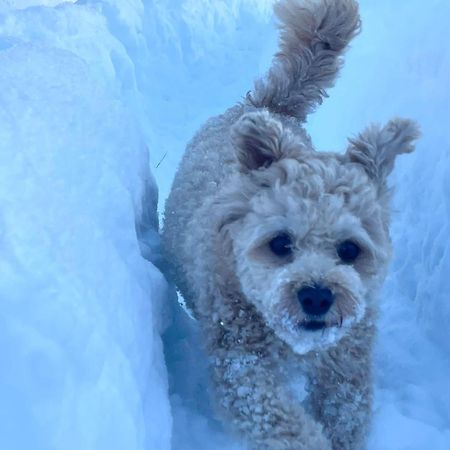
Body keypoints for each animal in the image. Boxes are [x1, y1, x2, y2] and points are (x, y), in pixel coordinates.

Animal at [163, 1, 420, 448]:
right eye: (280, 243)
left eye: (350, 249)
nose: (316, 296)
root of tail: (271, 105)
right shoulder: (242, 359)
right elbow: (277, 417)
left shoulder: (347, 356)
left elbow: (345, 408)